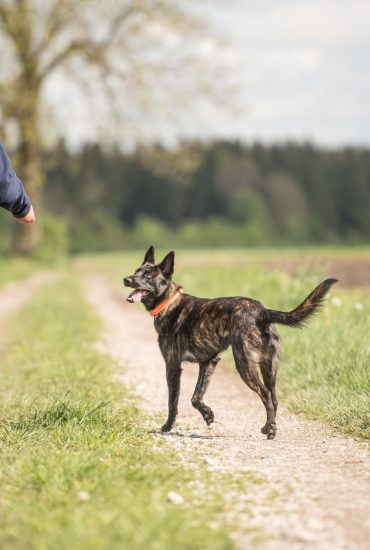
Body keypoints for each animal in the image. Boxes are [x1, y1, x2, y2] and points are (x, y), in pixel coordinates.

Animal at [124, 248, 338, 442]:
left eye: (148, 274)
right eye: (136, 271)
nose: (126, 279)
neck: (169, 302)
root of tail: (261, 312)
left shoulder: (173, 366)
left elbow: (173, 402)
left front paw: (167, 427)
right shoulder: (208, 362)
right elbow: (196, 396)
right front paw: (208, 414)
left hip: (245, 365)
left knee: (266, 395)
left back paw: (271, 430)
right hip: (269, 367)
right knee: (274, 398)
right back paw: (269, 426)